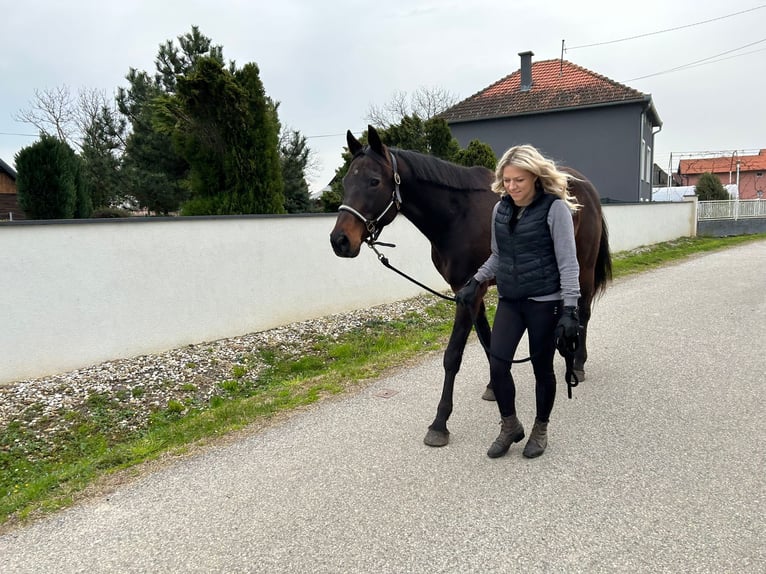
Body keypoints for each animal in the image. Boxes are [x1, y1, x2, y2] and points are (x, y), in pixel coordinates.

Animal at [330, 126, 612, 450]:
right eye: (346, 181)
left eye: (374, 181)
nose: (339, 241)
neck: (457, 216)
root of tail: (587, 187)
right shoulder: (466, 292)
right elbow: (489, 341)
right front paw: (494, 387)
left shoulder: (471, 293)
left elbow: (453, 356)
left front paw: (439, 423)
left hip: (583, 269)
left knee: (583, 314)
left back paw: (577, 365)